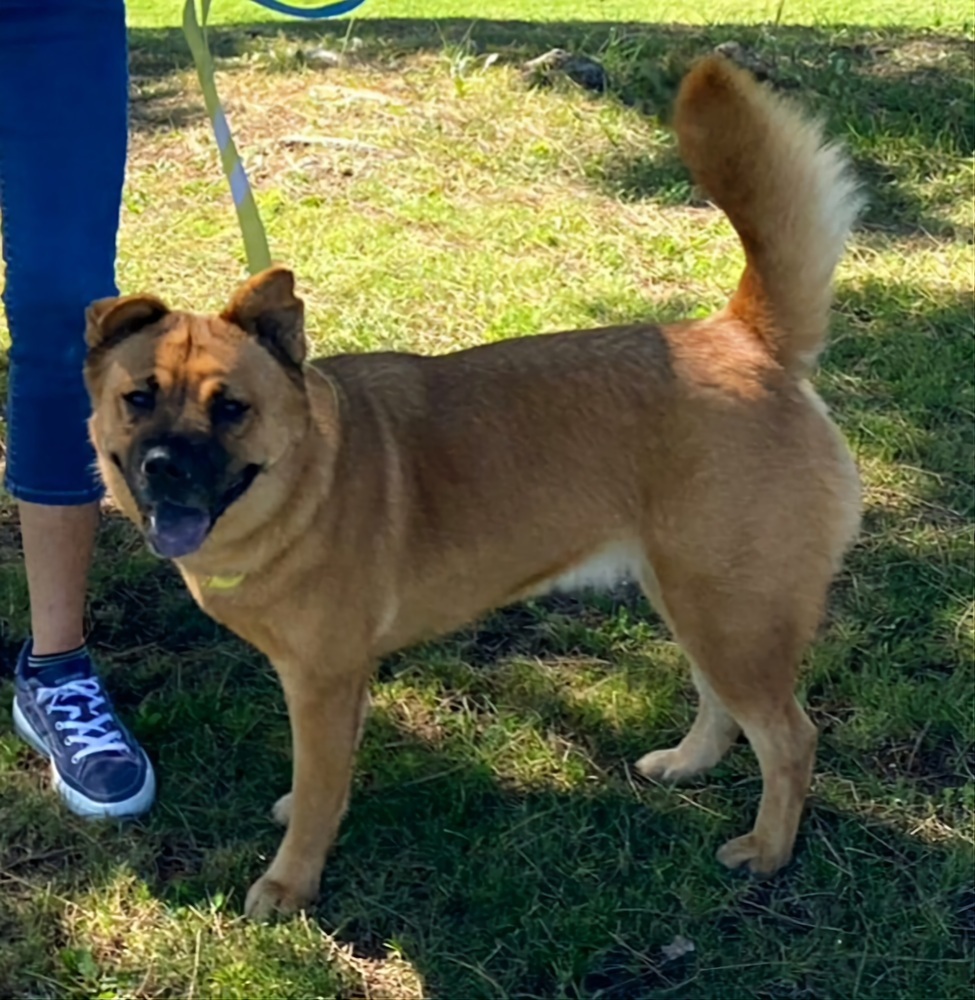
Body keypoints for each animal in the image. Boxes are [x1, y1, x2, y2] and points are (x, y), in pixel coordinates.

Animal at [84, 52, 860, 916]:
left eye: (230, 408)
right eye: (139, 398)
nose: (163, 467)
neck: (308, 483)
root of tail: (744, 339)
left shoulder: (321, 682)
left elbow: (319, 788)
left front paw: (290, 881)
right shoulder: (338, 684)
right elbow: (327, 778)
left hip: (729, 610)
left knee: (788, 738)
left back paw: (768, 850)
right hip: (699, 599)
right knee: (721, 704)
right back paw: (688, 764)